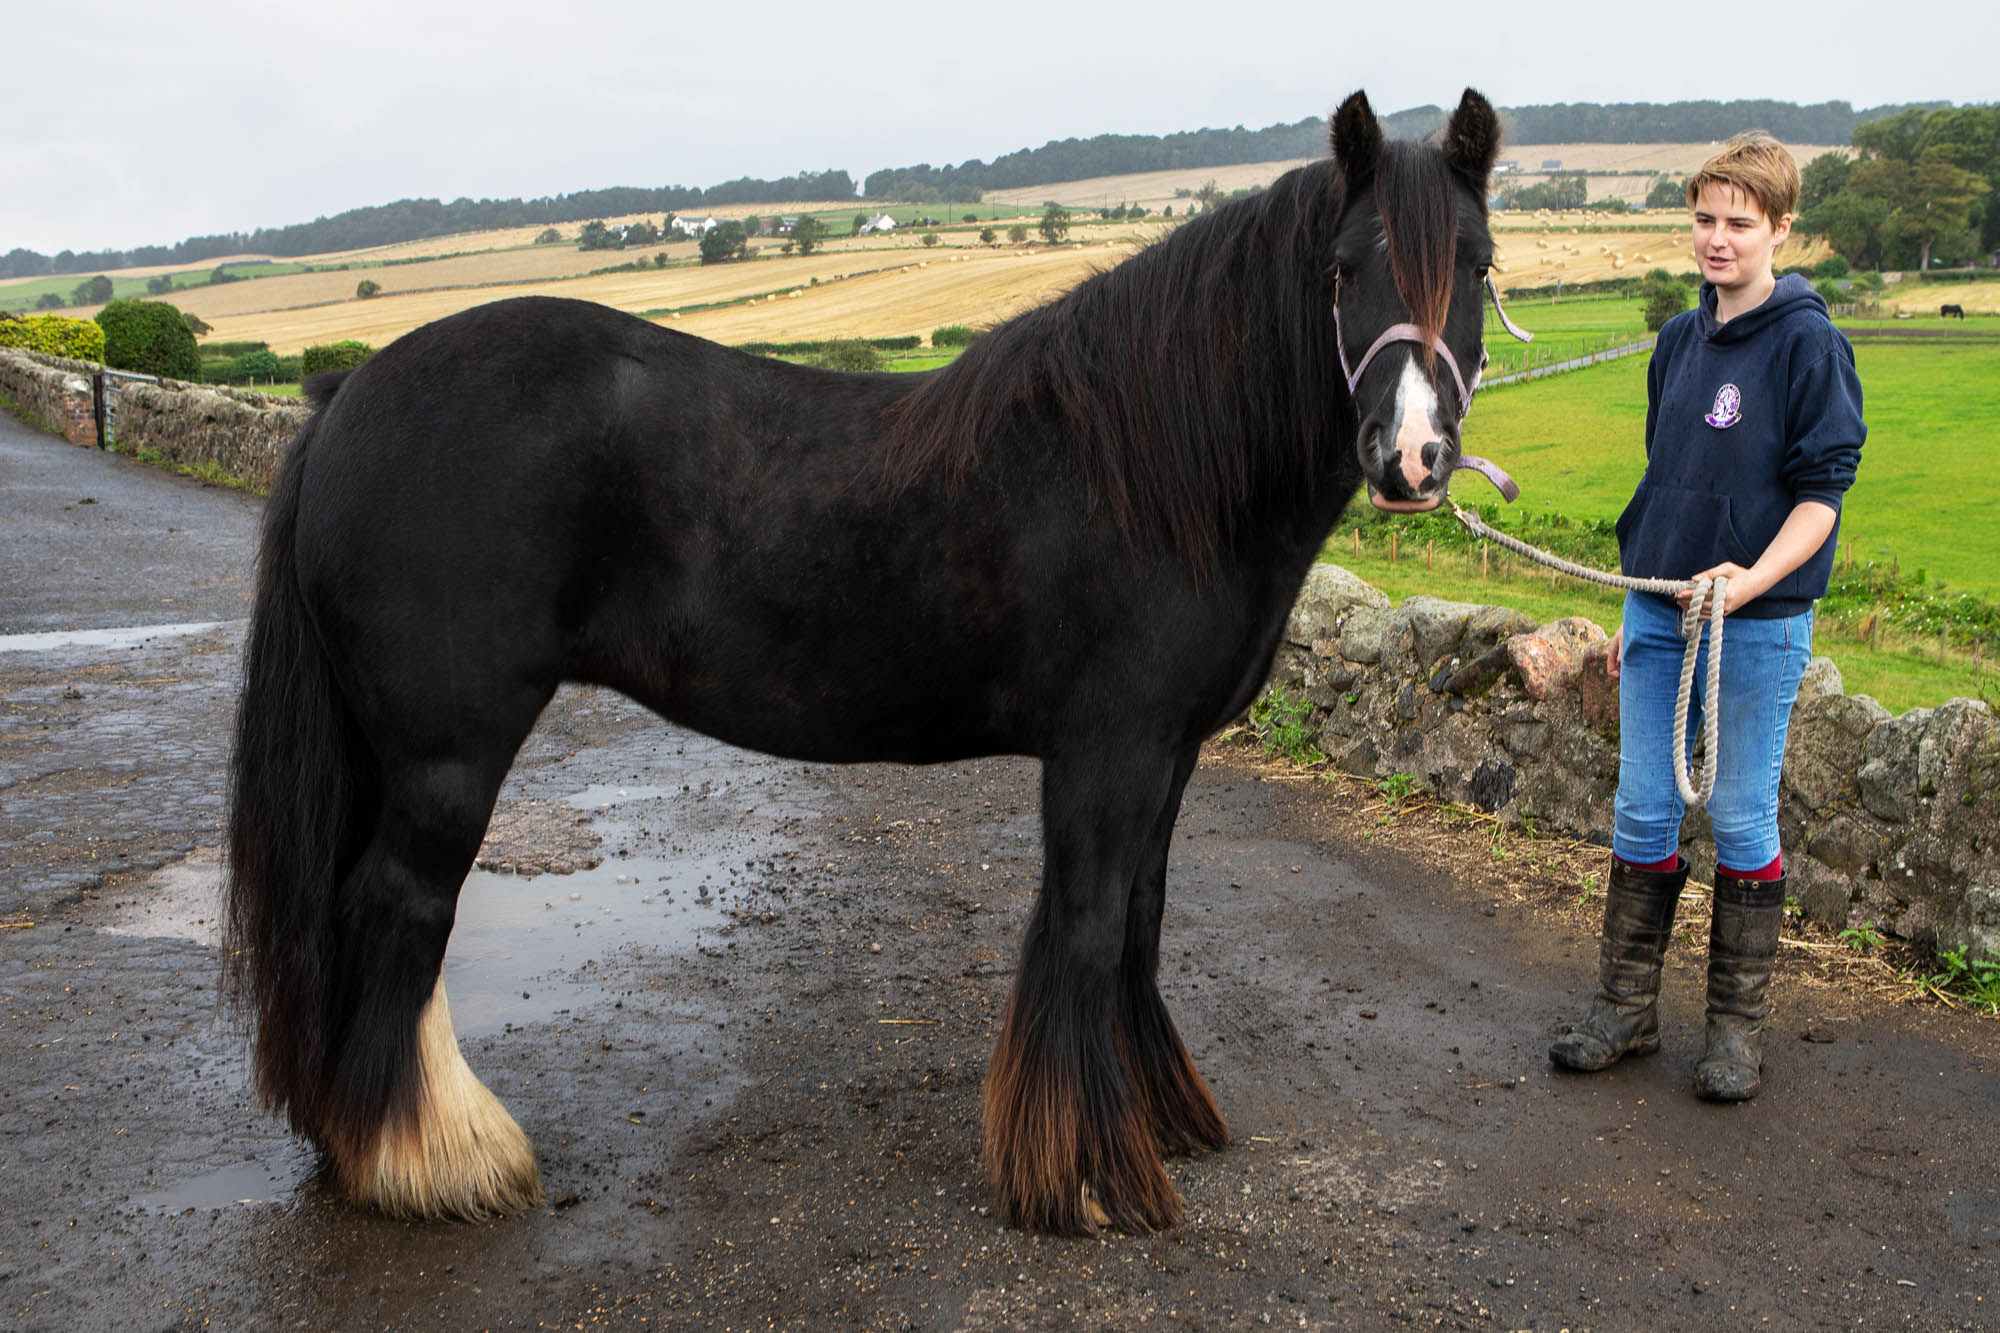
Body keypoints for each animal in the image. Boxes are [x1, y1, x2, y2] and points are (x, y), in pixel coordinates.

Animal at [227, 88, 1504, 1232]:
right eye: (1342, 269)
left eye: (1479, 265)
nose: (1408, 457)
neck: (1142, 465)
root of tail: (347, 394)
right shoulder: (1107, 754)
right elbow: (1088, 927)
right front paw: (1089, 1179)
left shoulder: (1168, 755)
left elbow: (1137, 923)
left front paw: (1149, 1124)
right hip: (447, 751)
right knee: (399, 909)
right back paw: (432, 1161)